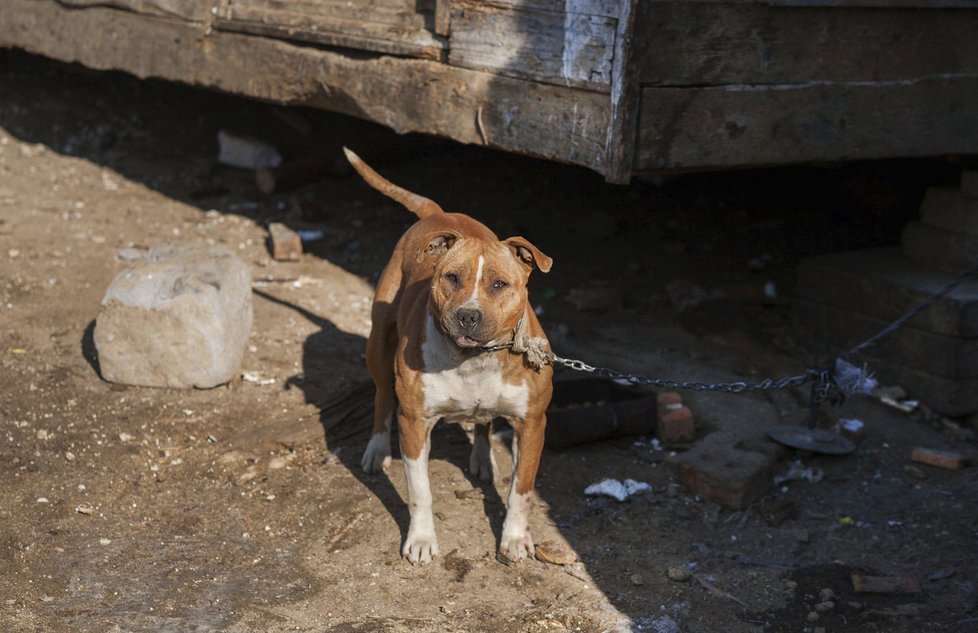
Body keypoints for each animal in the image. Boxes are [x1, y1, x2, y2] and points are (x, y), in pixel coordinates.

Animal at [346, 148, 552, 564]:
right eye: (451, 278)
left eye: (499, 284)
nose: (468, 315)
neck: (474, 360)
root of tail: (437, 213)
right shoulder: (413, 422)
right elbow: (420, 491)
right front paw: (421, 540)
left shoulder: (532, 423)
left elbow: (521, 490)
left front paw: (514, 538)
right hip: (378, 342)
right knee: (382, 396)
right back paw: (377, 448)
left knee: (484, 421)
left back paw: (483, 458)